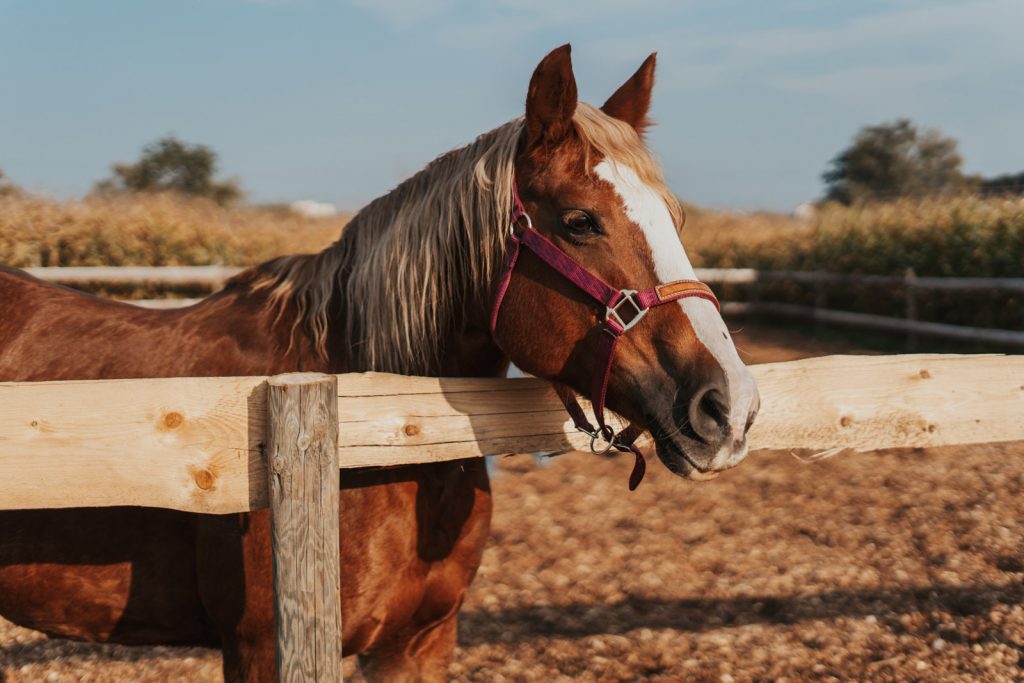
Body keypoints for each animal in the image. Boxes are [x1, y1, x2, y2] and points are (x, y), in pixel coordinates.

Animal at [0, 45, 761, 679]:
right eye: (579, 220)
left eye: (676, 219)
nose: (728, 406)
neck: (378, 426)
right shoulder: (264, 649)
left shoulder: (419, 642)